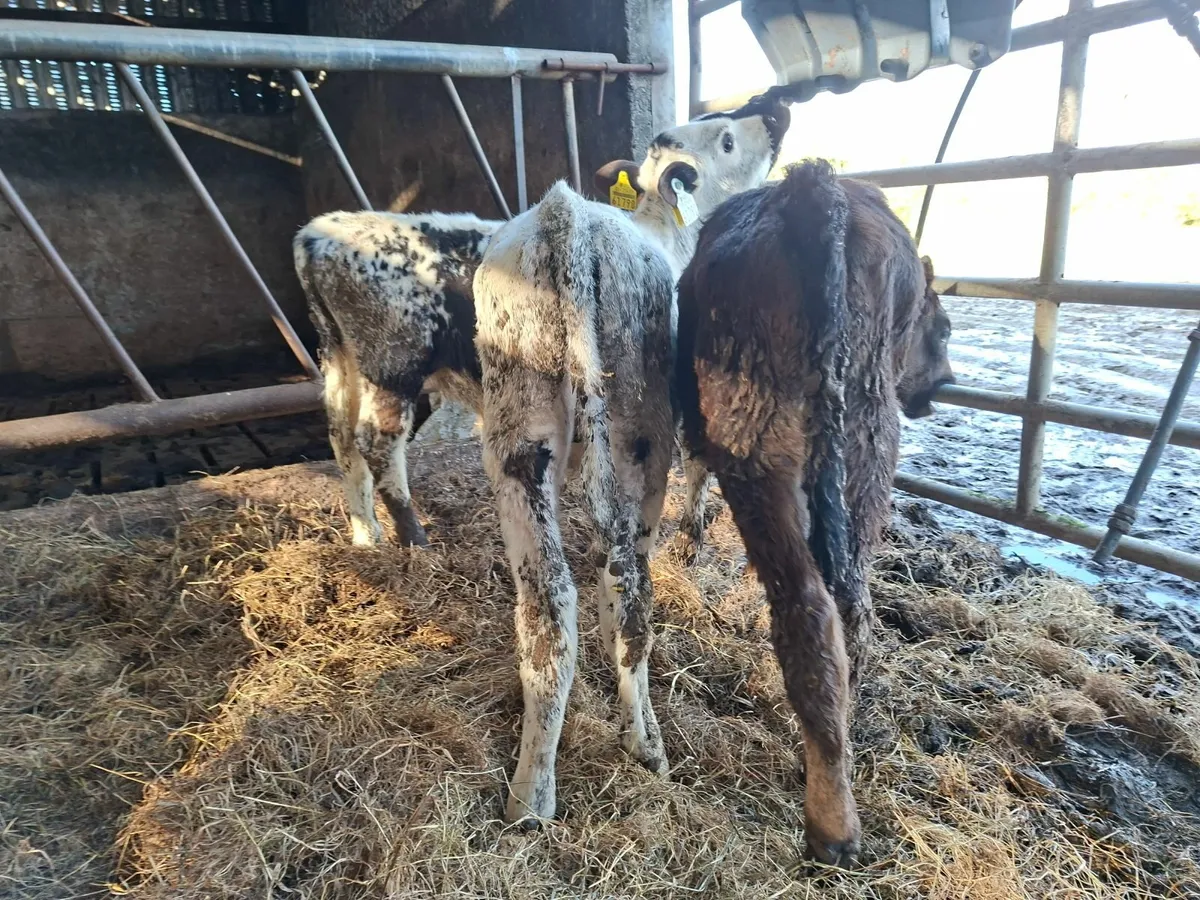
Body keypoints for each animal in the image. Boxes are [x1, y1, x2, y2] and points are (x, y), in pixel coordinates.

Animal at [471, 95, 792, 827]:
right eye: (725, 137)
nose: (776, 106)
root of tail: (566, 215)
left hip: (517, 435)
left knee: (548, 603)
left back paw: (531, 794)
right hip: (639, 439)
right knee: (633, 594)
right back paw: (645, 740)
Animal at [673, 159, 954, 866]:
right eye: (942, 329)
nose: (943, 386)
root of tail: (812, 186)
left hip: (771, 452)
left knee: (816, 605)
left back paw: (830, 796)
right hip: (855, 442)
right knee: (838, 603)